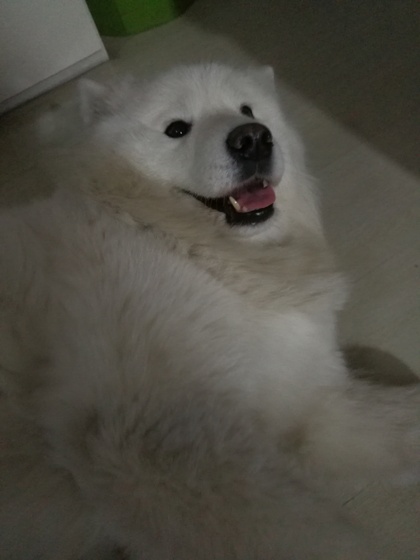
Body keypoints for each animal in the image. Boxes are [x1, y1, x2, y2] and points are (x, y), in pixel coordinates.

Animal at [0, 63, 419, 559]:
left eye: (248, 110)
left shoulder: (304, 401)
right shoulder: (156, 443)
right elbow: (313, 534)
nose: (253, 139)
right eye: (177, 128)